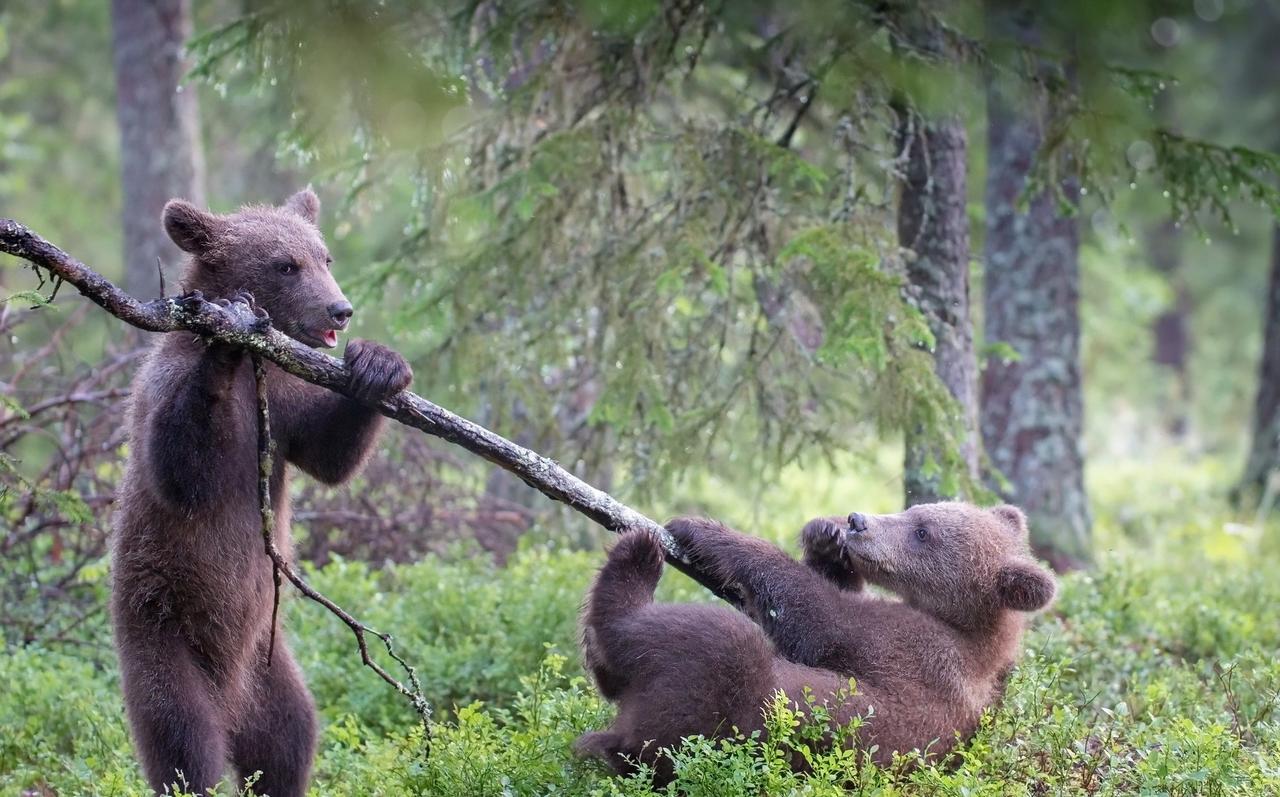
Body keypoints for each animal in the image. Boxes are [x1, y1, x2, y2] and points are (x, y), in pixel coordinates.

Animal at [110, 189, 412, 796]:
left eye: (324, 257)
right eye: (284, 265)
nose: (339, 310)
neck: (261, 366)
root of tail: (230, 697)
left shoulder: (288, 401)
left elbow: (328, 454)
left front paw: (378, 365)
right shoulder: (163, 390)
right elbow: (181, 470)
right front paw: (226, 341)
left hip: (267, 663)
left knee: (289, 737)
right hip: (162, 633)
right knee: (184, 743)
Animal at [576, 502, 1056, 784]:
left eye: (923, 531)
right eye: (916, 507)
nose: (858, 522)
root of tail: (624, 737)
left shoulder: (912, 647)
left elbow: (816, 614)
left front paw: (704, 530)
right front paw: (825, 540)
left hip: (716, 714)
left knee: (709, 641)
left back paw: (637, 556)